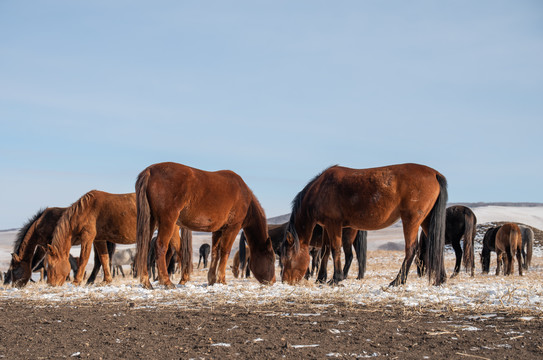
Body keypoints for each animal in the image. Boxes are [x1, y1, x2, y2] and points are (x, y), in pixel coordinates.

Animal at [134, 163, 274, 290]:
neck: (245, 197)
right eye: (272, 259)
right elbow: (225, 251)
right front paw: (221, 280)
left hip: (151, 221)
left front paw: (212, 279)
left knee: (145, 247)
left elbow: (215, 252)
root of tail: (150, 171)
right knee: (160, 246)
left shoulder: (218, 230)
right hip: (167, 221)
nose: (273, 281)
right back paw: (166, 281)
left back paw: (147, 282)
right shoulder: (232, 228)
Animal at [278, 164, 448, 286]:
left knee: (411, 249)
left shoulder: (334, 224)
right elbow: (325, 251)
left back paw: (397, 281)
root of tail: (434, 174)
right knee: (437, 247)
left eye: (288, 257)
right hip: (426, 221)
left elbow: (335, 249)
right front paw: (321, 278)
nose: (286, 281)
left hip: (411, 220)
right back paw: (440, 279)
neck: (321, 189)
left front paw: (335, 279)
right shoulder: (326, 226)